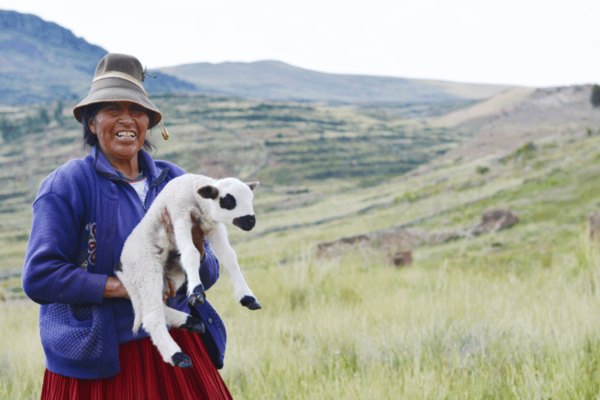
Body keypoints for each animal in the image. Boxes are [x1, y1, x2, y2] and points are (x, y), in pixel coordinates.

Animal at [115, 174, 260, 368]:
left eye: (251, 198)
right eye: (228, 201)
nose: (251, 221)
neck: (194, 191)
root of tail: (122, 268)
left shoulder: (211, 227)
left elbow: (229, 256)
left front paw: (247, 297)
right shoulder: (179, 216)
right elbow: (191, 253)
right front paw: (197, 293)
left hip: (170, 275)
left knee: (158, 307)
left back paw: (190, 322)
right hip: (146, 270)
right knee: (151, 317)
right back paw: (177, 356)